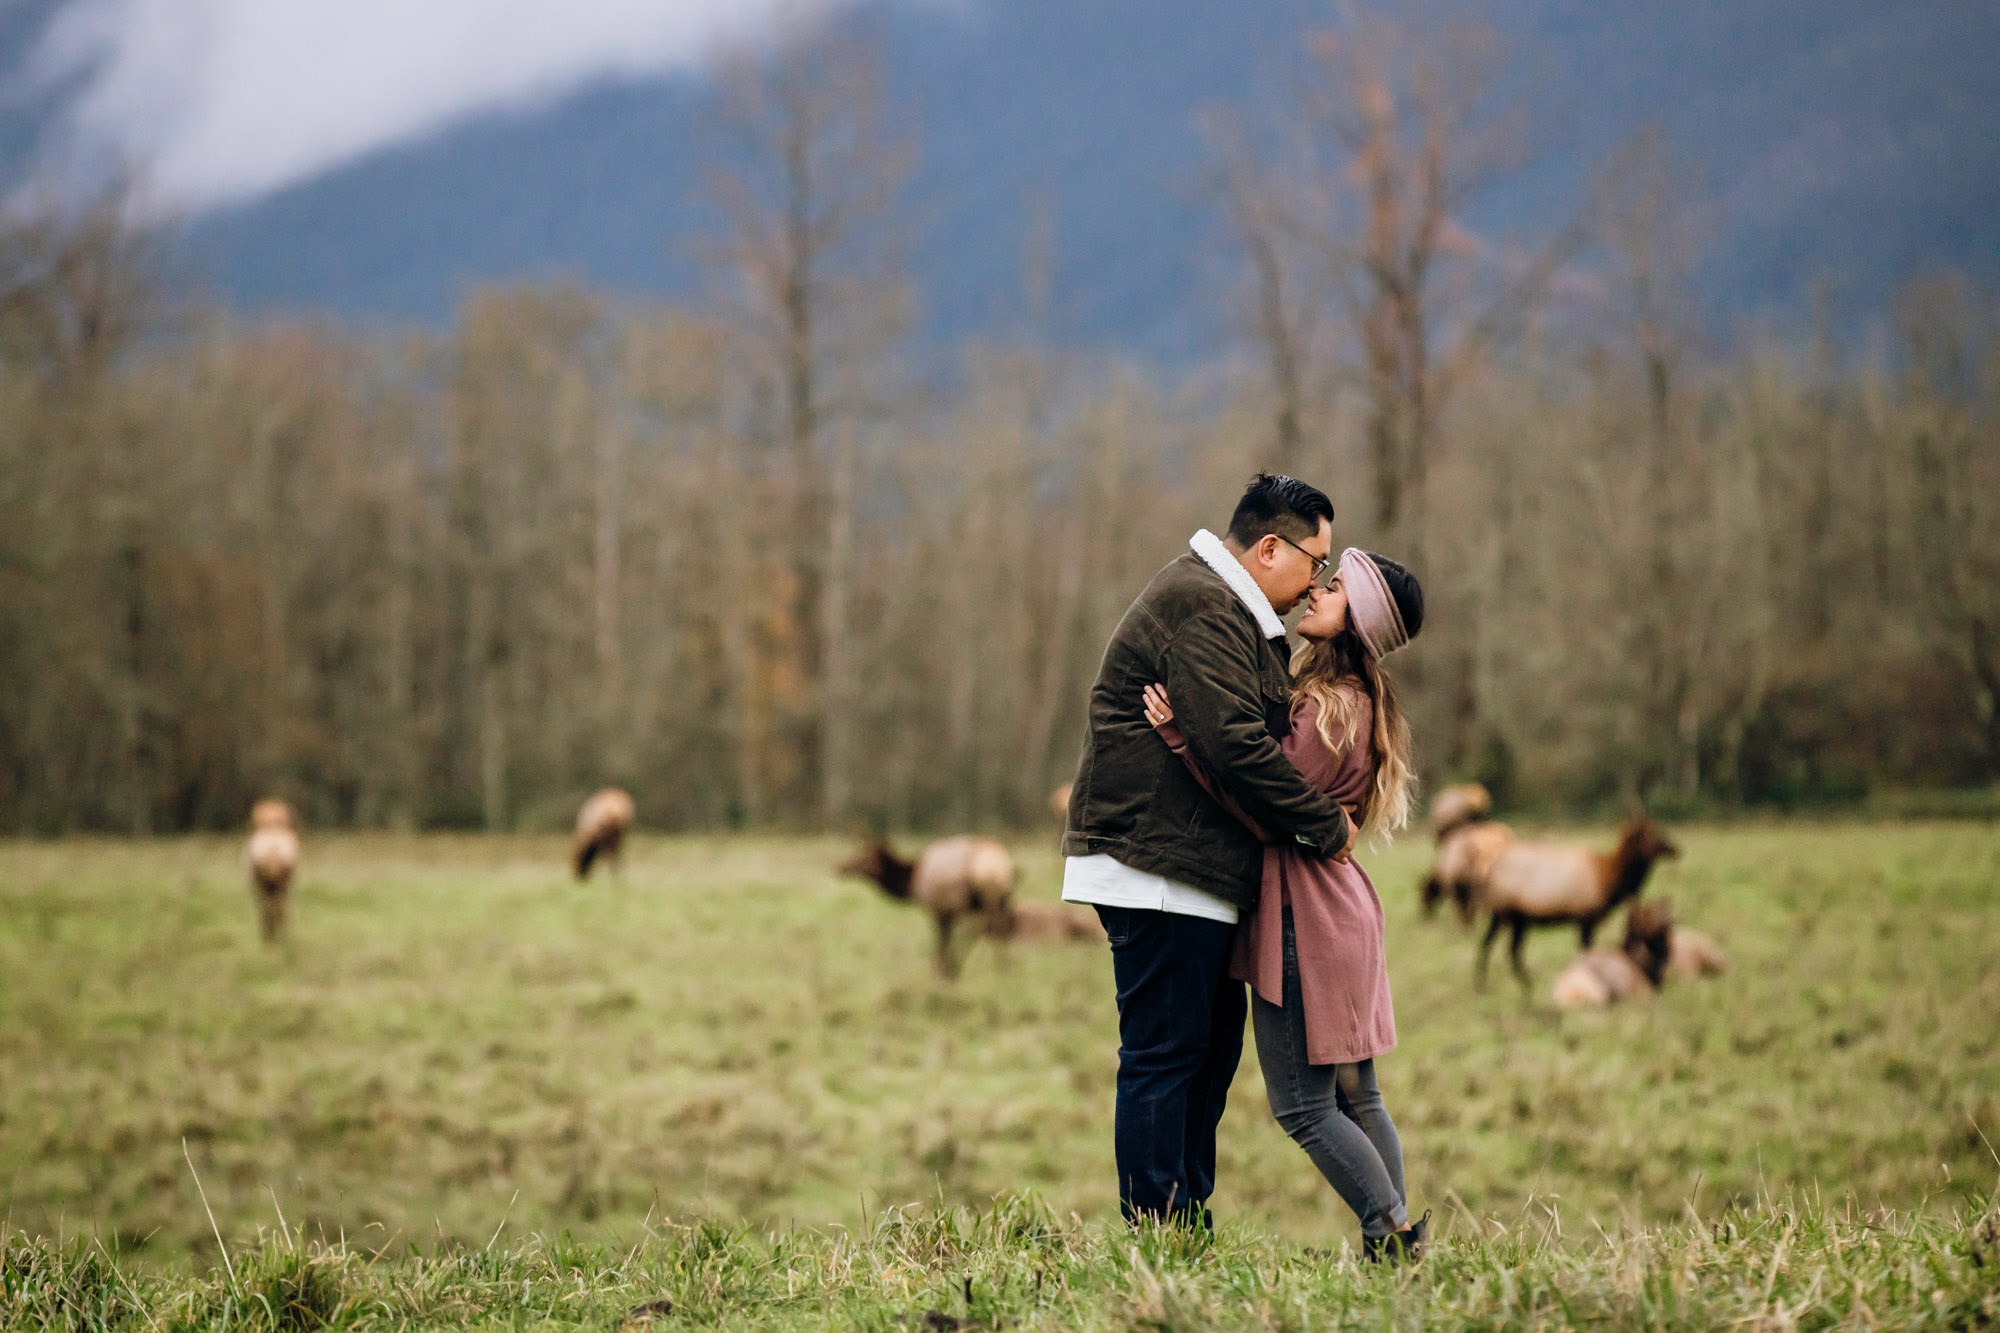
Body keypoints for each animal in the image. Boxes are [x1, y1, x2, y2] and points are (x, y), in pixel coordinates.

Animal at [245, 792, 302, 940]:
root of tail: (272, 849)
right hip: (277, 883)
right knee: (274, 907)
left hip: (267, 883)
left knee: (270, 907)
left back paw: (271, 937)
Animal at [836, 832, 1016, 976]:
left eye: (865, 858)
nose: (841, 867)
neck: (911, 880)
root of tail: (996, 866)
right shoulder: (947, 910)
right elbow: (946, 937)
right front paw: (943, 967)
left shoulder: (938, 907)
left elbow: (941, 938)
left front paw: (940, 969)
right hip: (1002, 898)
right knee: (1000, 925)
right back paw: (1004, 965)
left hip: (974, 899)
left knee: (983, 927)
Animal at [1480, 808, 1680, 984]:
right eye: (1653, 834)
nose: (1676, 849)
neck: (1608, 882)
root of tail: (1492, 870)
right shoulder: (1585, 917)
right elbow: (1585, 950)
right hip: (1503, 911)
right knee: (1492, 944)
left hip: (1511, 917)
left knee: (1493, 944)